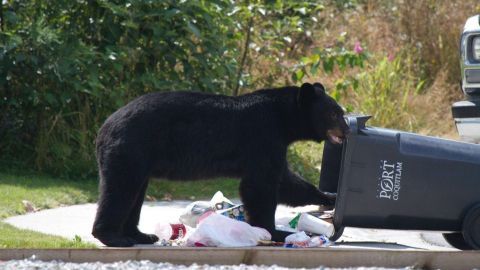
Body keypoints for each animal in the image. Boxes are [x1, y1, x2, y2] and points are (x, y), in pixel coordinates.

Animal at [92, 82, 348, 247]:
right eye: (335, 113)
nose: (346, 130)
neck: (283, 118)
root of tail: (104, 128)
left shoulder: (273, 144)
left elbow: (286, 182)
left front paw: (330, 197)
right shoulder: (263, 136)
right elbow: (261, 184)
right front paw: (273, 230)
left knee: (135, 193)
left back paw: (141, 235)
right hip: (131, 149)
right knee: (120, 190)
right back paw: (114, 237)